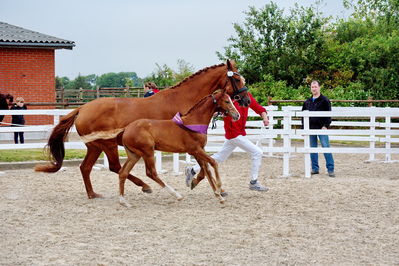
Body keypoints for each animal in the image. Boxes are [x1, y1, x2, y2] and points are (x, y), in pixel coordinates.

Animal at [36, 59, 252, 197]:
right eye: (237, 79)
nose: (246, 100)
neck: (185, 100)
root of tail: (82, 108)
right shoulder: (189, 143)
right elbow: (203, 163)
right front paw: (200, 183)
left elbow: (204, 163)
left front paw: (204, 183)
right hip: (107, 145)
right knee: (114, 167)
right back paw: (145, 186)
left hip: (95, 146)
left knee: (86, 167)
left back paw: (93, 194)